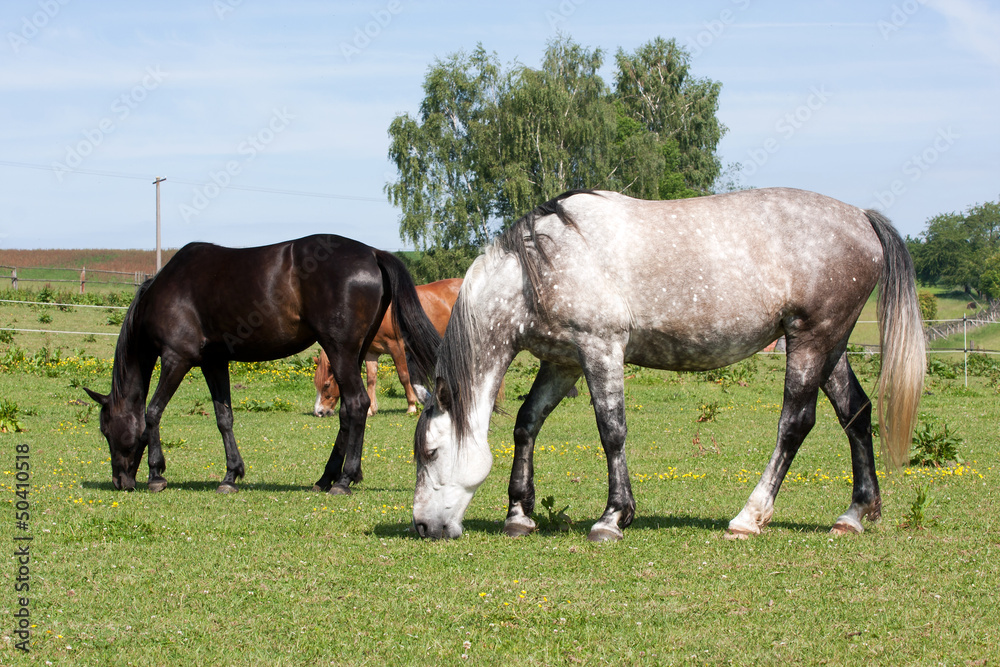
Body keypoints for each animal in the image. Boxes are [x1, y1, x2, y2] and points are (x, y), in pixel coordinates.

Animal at [314, 278, 462, 414]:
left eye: (326, 385)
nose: (319, 412)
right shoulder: (371, 352)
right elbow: (371, 379)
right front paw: (371, 409)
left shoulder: (396, 347)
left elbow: (404, 376)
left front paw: (412, 406)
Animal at [410, 188, 924, 544]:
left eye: (430, 452)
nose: (422, 526)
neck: (539, 267)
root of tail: (862, 218)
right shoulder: (564, 362)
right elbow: (526, 423)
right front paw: (519, 514)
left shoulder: (601, 349)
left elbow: (611, 431)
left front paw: (613, 518)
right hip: (830, 346)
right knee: (855, 413)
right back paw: (855, 514)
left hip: (810, 341)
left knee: (795, 423)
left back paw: (749, 517)